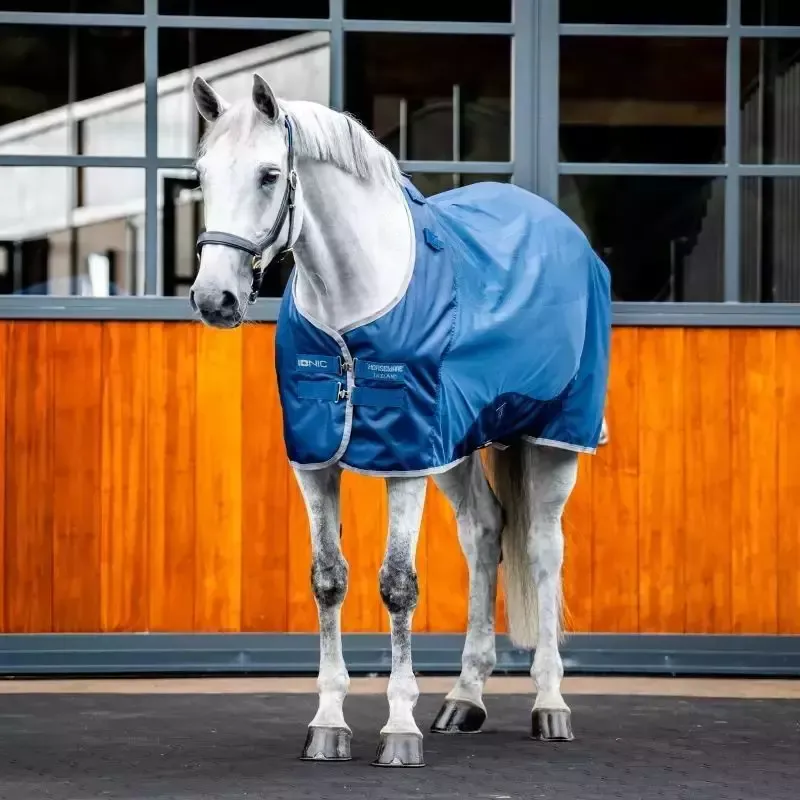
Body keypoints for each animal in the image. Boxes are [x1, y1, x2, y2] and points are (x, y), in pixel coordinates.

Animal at [188, 72, 612, 768]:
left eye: (270, 175)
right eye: (201, 176)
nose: (213, 298)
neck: (351, 305)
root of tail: (564, 230)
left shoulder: (406, 457)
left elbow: (397, 586)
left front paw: (399, 729)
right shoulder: (319, 460)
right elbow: (328, 580)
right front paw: (328, 723)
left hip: (554, 439)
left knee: (545, 548)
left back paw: (551, 705)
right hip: (458, 445)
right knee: (485, 532)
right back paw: (464, 699)